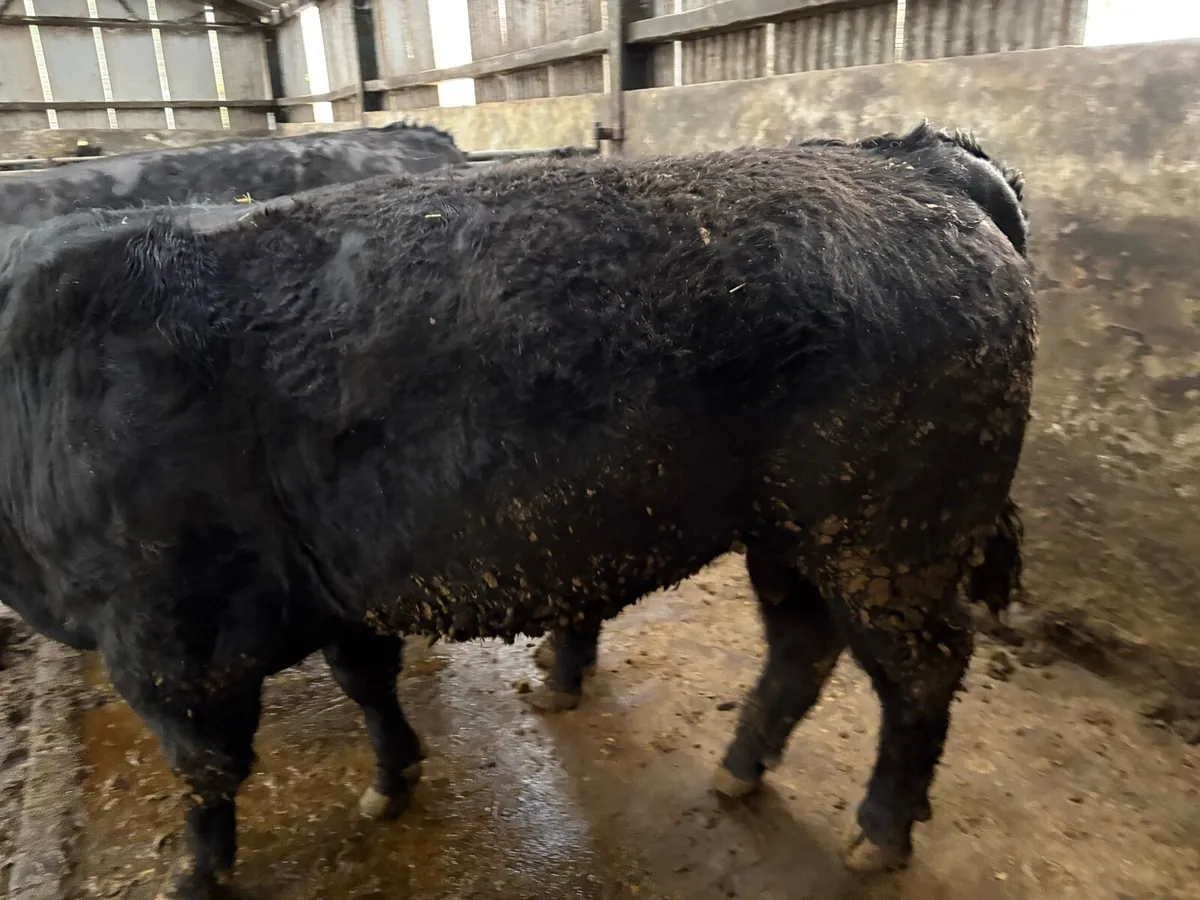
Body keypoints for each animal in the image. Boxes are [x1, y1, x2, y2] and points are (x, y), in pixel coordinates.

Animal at [0, 123, 1035, 898]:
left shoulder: (165, 632)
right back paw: (739, 769)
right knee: (801, 644)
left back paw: (879, 833)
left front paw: (198, 879)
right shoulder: (331, 583)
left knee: (922, 669)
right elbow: (366, 680)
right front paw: (392, 781)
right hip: (792, 534)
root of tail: (912, 167)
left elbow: (206, 771)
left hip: (891, 538)